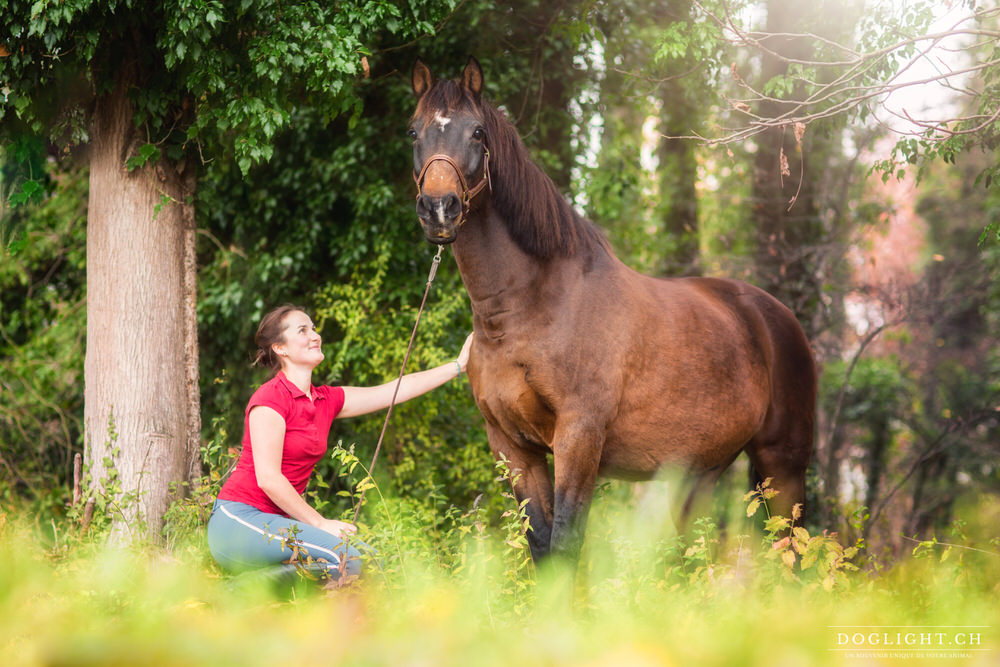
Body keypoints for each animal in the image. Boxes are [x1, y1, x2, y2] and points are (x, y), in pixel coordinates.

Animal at [410, 58, 816, 564]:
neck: (531, 309)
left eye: (478, 132)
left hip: (783, 465)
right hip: (698, 474)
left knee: (792, 551)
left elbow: (565, 544)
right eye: (413, 132)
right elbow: (541, 546)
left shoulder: (579, 439)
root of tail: (777, 315)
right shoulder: (513, 448)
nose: (438, 209)